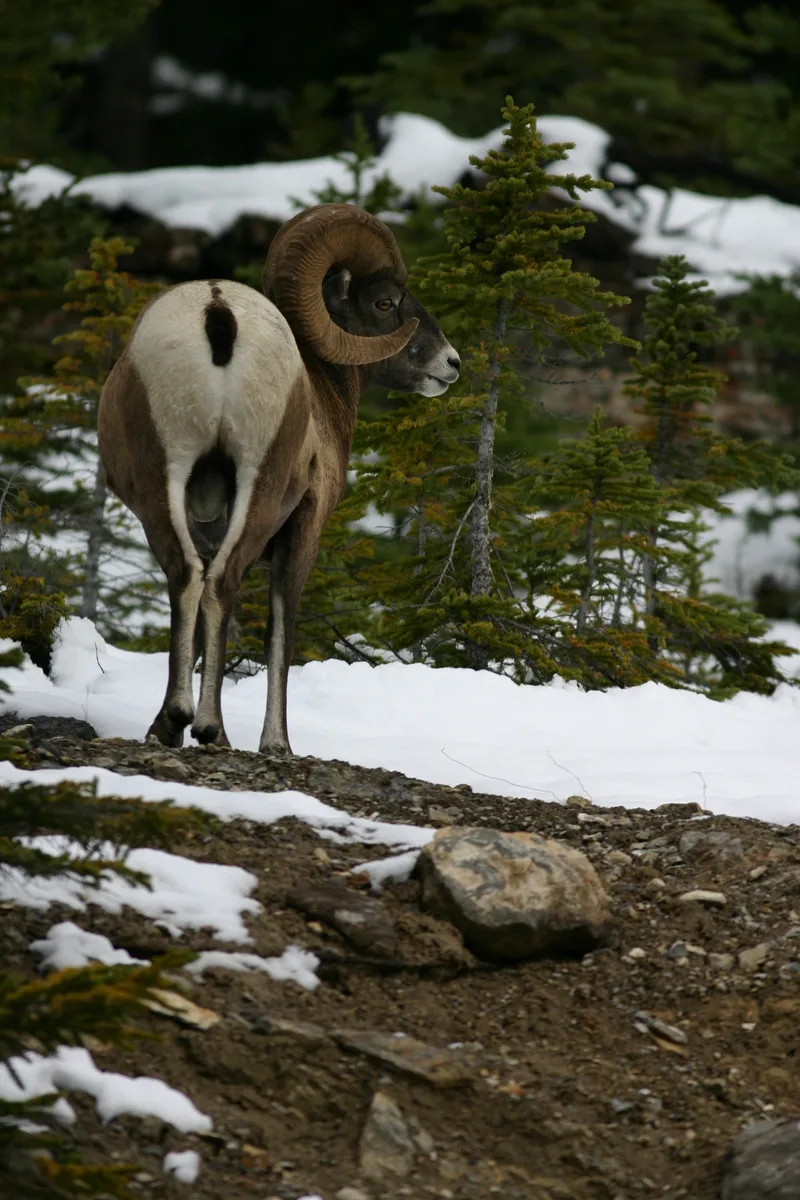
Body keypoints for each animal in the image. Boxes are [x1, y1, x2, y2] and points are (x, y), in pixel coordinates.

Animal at [98, 203, 460, 755]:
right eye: (385, 302)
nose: (451, 363)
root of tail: (218, 314)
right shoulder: (302, 534)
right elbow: (280, 635)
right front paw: (277, 745)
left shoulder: (207, 528)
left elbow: (201, 632)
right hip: (259, 486)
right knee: (221, 583)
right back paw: (212, 729)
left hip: (162, 477)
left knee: (186, 577)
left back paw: (171, 723)